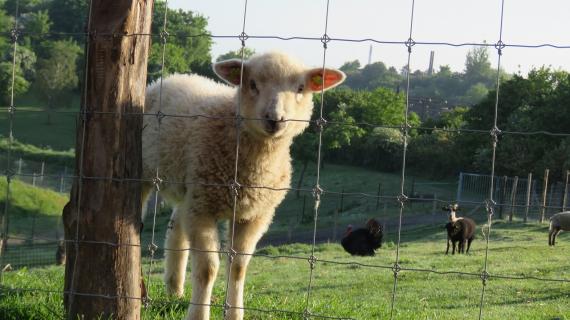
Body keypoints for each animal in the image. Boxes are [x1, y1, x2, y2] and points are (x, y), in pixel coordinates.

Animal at [141, 52, 346, 320]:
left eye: (300, 88)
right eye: (252, 84)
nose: (275, 119)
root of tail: (175, 76)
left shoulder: (255, 215)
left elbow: (238, 266)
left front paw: (234, 313)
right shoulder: (202, 208)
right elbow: (207, 269)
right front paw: (198, 314)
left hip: (188, 190)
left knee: (175, 228)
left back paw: (174, 289)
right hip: (149, 174)